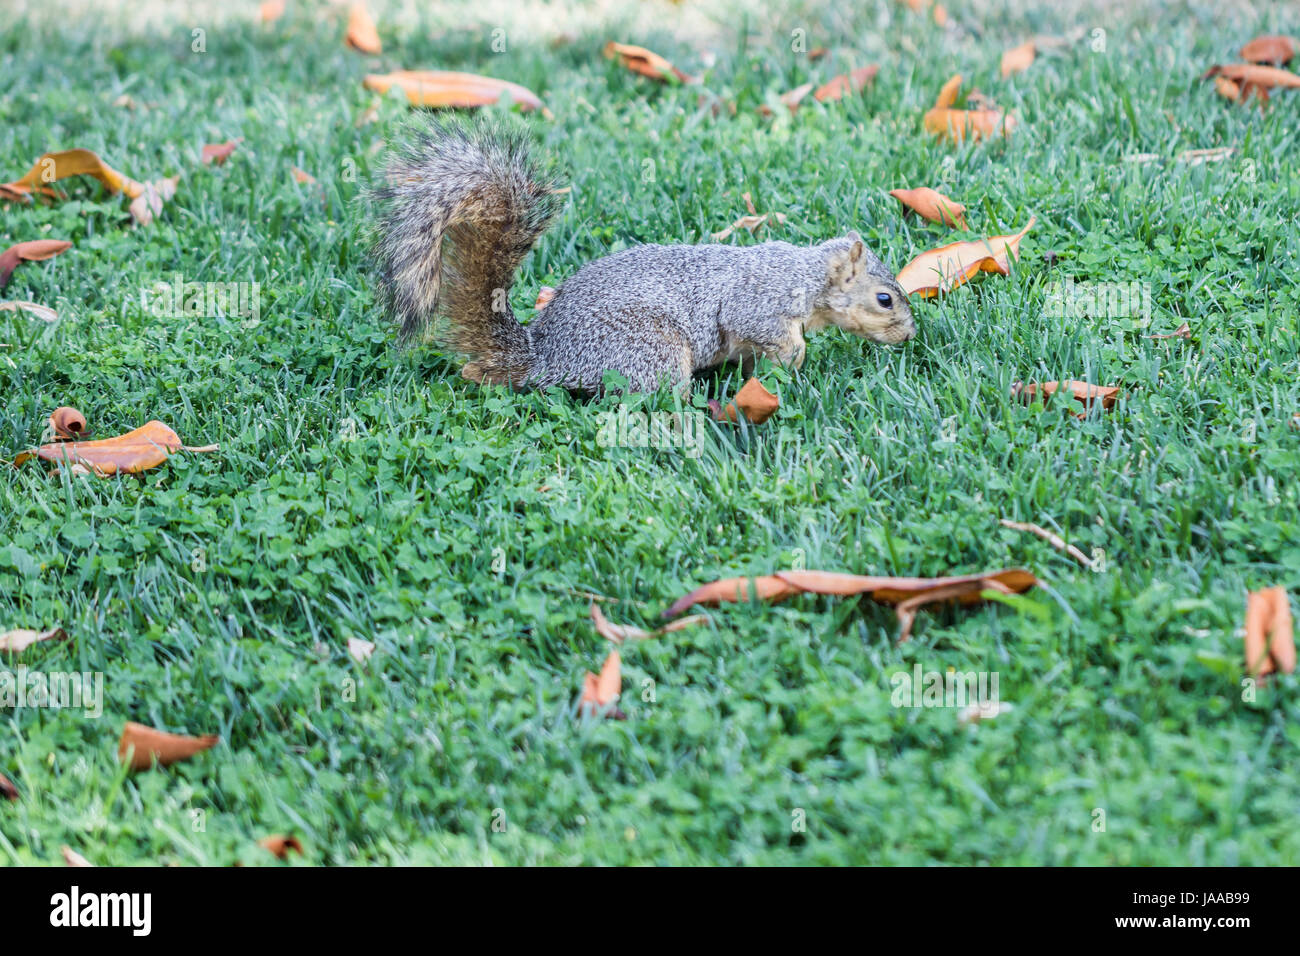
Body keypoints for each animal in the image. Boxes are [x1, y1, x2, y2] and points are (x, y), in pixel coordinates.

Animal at [371, 115, 915, 392]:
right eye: (885, 299)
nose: (911, 335)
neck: (806, 273)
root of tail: (547, 357)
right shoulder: (759, 302)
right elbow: (766, 328)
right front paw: (797, 357)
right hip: (651, 347)